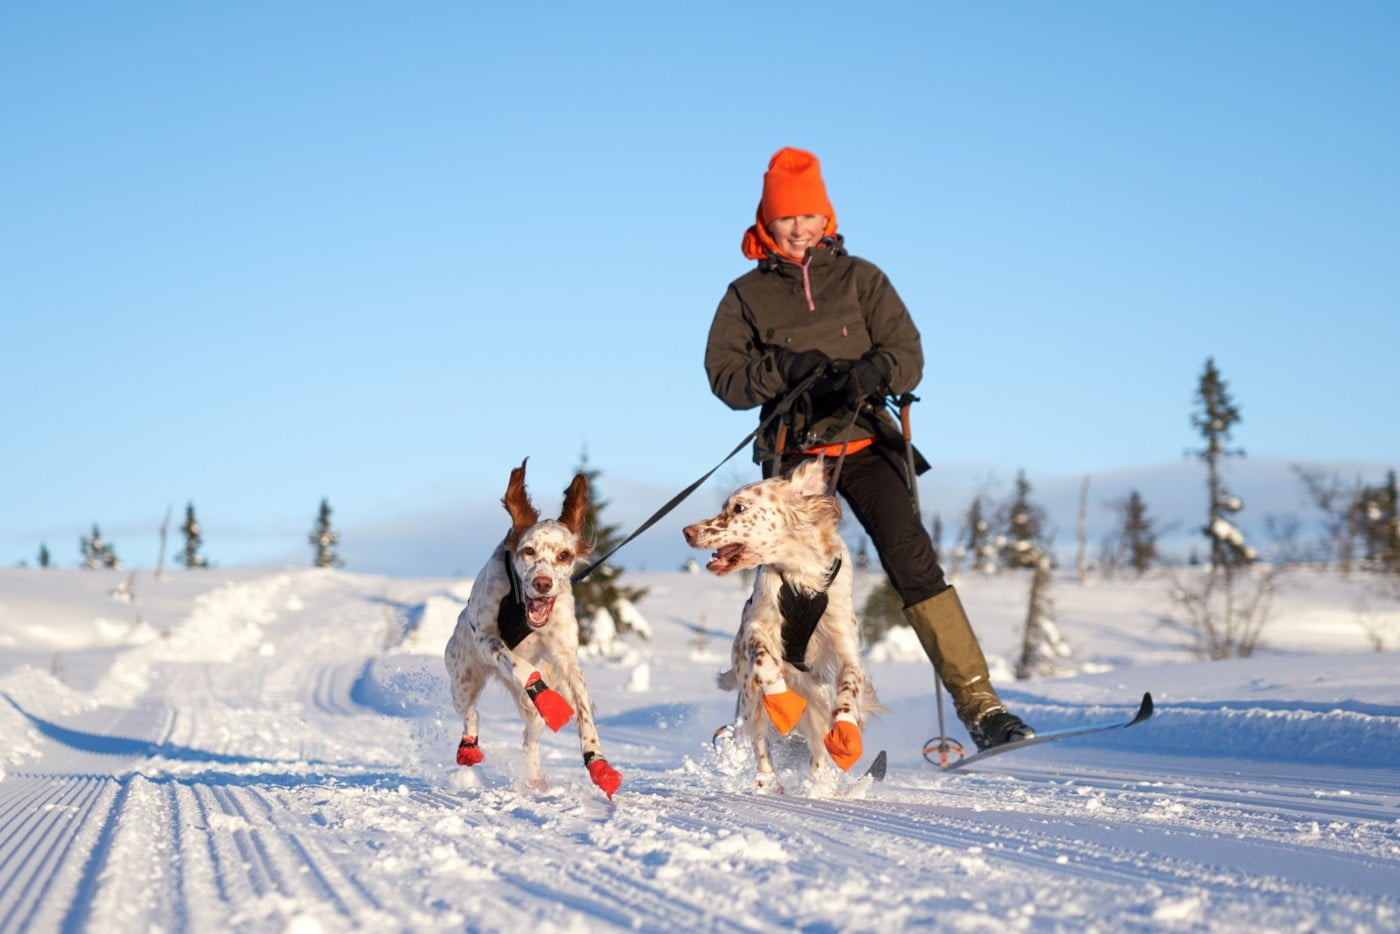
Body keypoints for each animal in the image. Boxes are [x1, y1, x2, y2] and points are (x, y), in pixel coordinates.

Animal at [445, 456, 621, 800]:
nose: (543, 583)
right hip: (463, 679)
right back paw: (469, 748)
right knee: (471, 714)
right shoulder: (487, 639)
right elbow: (522, 667)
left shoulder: (565, 658)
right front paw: (551, 702)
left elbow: (583, 711)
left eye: (564, 555)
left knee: (529, 741)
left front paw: (599, 764)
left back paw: (536, 780)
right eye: (528, 551)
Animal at [683, 456, 879, 795]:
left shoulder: (844, 646)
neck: (801, 574)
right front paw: (780, 698)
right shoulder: (757, 627)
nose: (687, 531)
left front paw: (845, 732)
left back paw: (818, 783)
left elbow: (847, 688)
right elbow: (765, 660)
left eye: (739, 508)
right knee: (761, 742)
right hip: (750, 699)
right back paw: (768, 781)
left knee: (816, 745)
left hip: (814, 694)